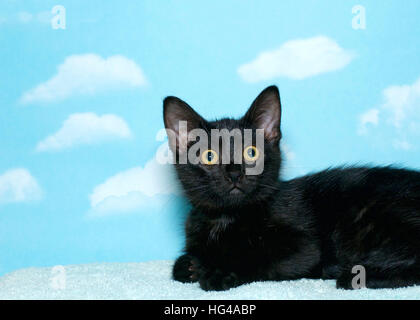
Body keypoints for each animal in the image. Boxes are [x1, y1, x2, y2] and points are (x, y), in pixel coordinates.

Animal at [162, 86, 420, 292]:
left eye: (251, 152)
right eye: (209, 156)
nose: (235, 173)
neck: (226, 218)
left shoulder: (304, 247)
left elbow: (258, 258)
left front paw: (221, 271)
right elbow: (180, 266)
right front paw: (193, 265)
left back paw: (354, 275)